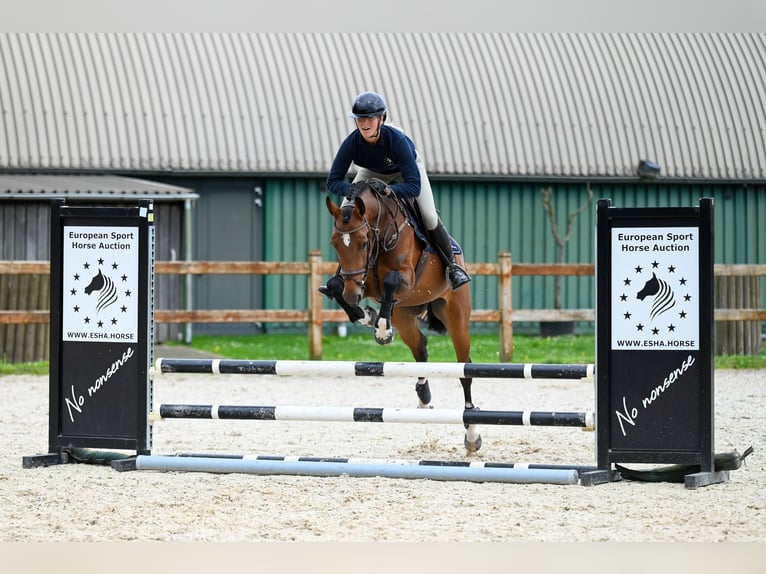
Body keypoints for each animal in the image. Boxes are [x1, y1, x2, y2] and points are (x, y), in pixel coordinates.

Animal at [320, 180, 484, 454]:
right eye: (334, 243)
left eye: (363, 242)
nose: (354, 295)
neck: (382, 229)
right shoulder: (361, 282)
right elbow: (334, 286)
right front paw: (365, 315)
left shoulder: (405, 279)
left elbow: (391, 280)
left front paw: (381, 330)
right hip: (404, 316)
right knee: (421, 348)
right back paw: (424, 396)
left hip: (455, 316)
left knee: (465, 369)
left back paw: (472, 433)